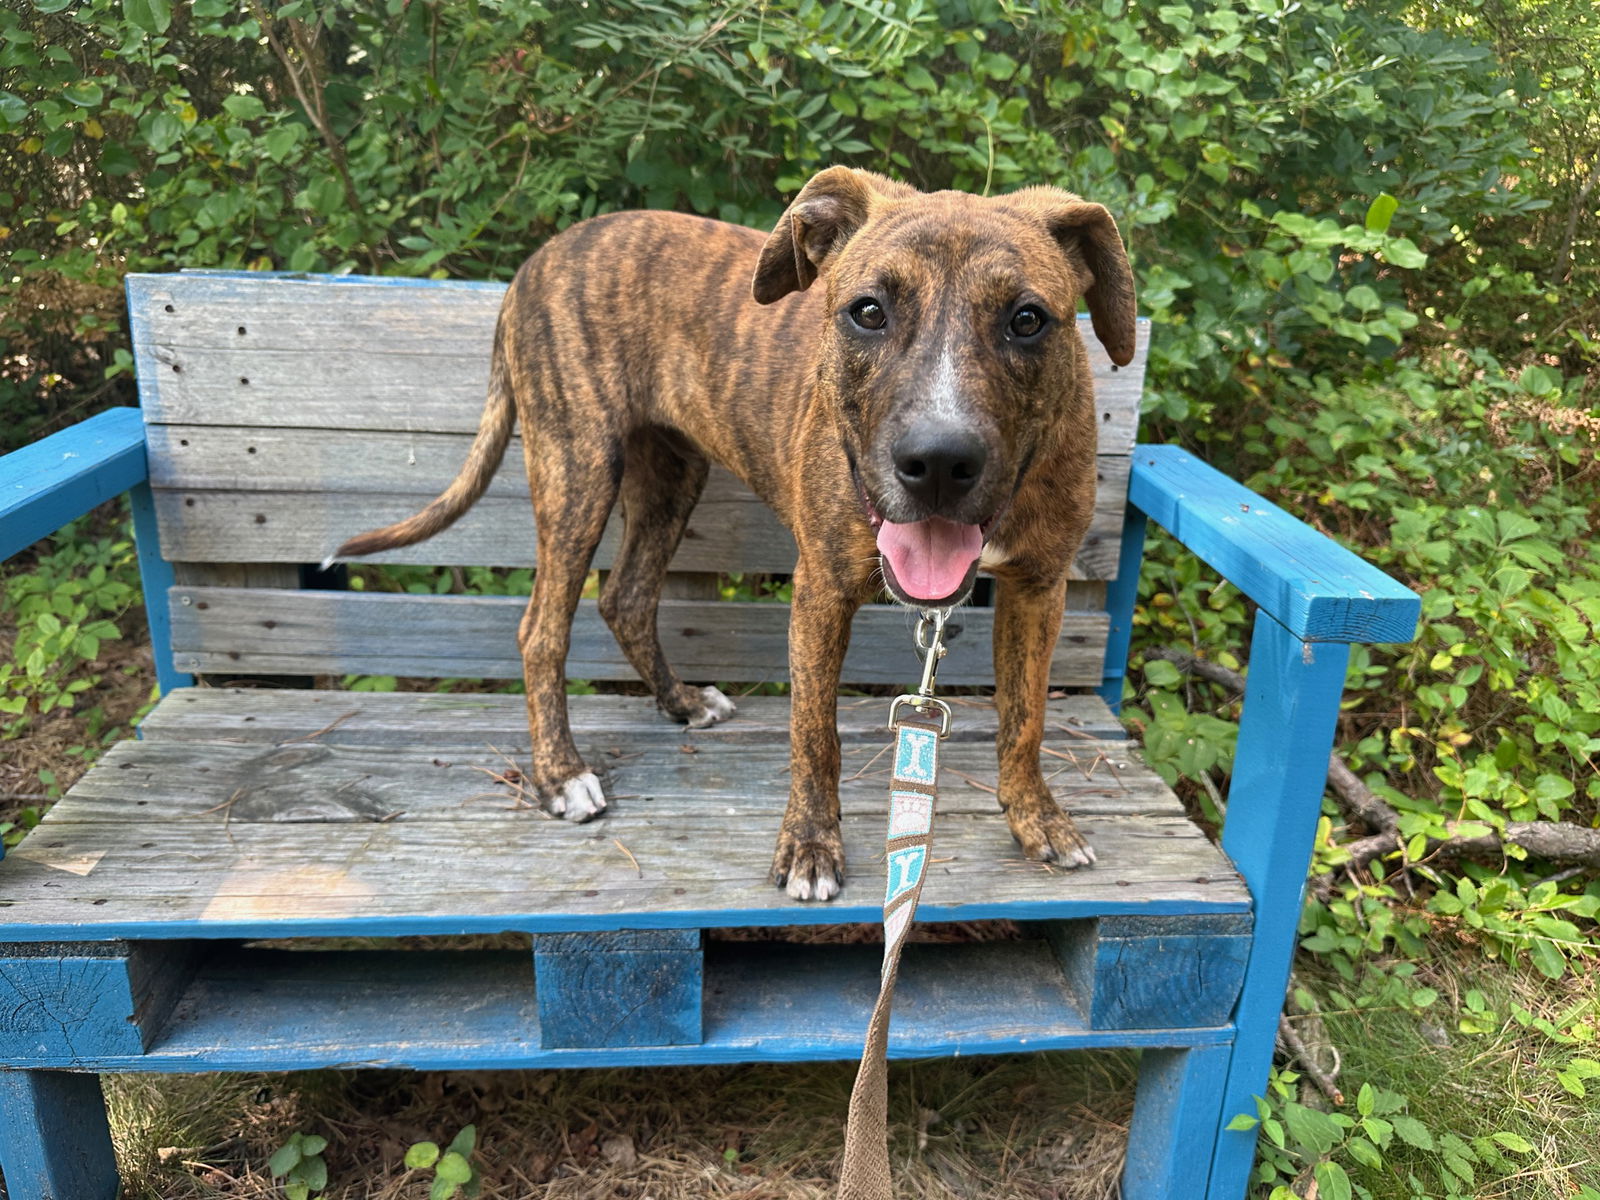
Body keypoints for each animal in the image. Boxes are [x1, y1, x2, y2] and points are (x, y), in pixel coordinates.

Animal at [334, 167, 1139, 902]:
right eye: (868, 311)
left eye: (1028, 320)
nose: (938, 463)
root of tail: (536, 263)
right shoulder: (821, 590)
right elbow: (815, 733)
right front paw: (811, 847)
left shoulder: (1039, 588)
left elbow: (1026, 717)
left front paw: (1038, 819)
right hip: (577, 470)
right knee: (542, 629)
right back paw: (562, 775)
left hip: (669, 475)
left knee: (626, 598)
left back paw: (682, 702)